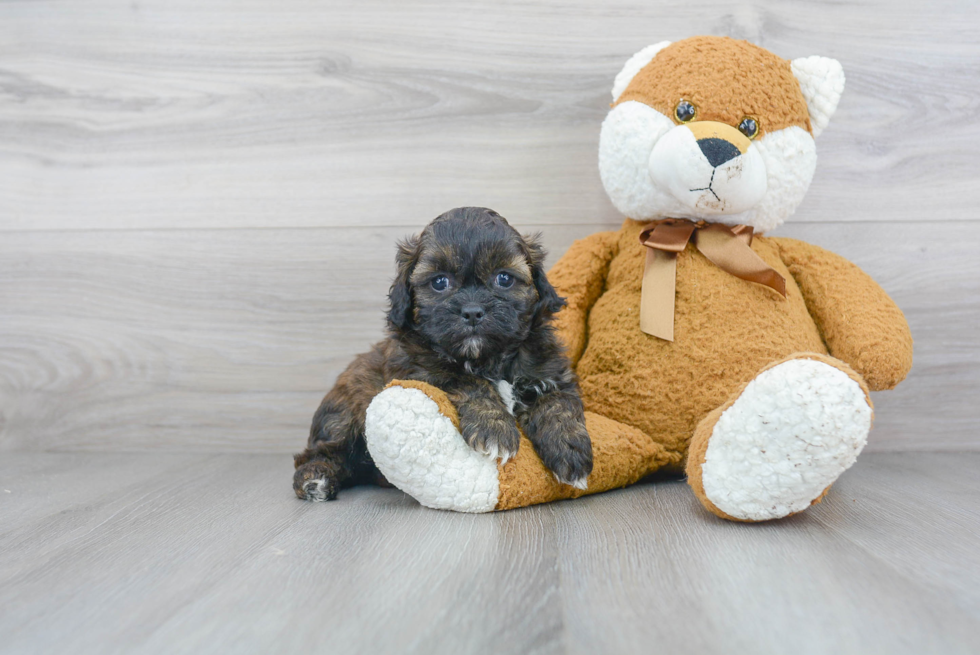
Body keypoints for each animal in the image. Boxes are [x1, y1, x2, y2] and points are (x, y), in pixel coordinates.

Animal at [294, 208, 592, 500]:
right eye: (439, 282)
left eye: (504, 278)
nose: (472, 311)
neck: (487, 358)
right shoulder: (420, 371)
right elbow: (469, 381)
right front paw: (494, 428)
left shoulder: (549, 373)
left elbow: (558, 403)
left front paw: (570, 450)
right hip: (347, 410)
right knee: (320, 451)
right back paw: (316, 478)